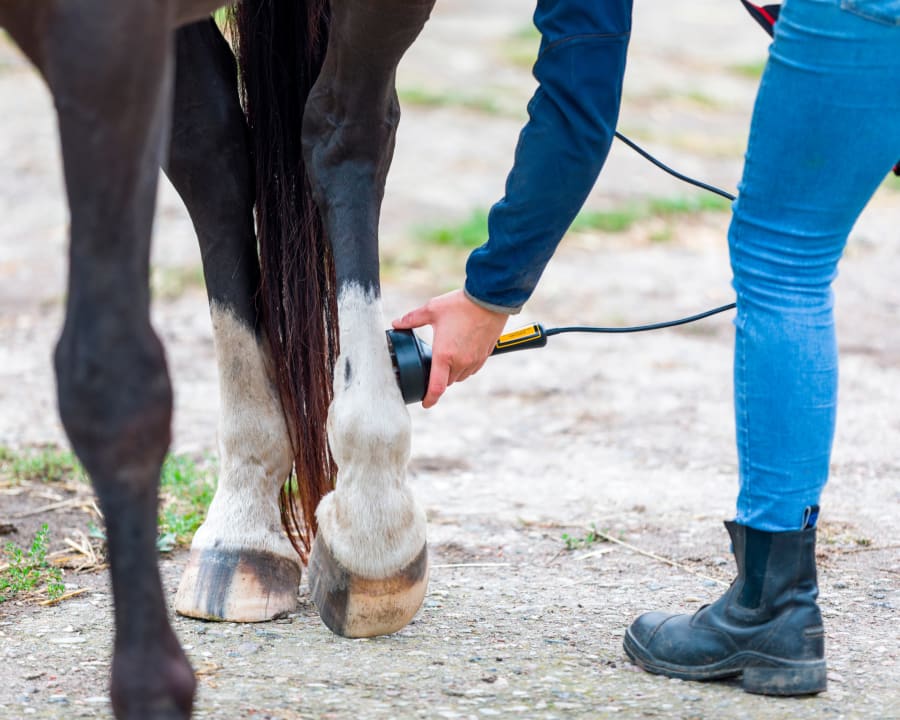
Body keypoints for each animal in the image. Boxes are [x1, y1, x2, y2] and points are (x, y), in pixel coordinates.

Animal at [0, 2, 436, 716]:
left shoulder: (102, 38)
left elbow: (110, 380)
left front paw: (150, 685)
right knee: (212, 150)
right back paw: (241, 530)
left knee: (345, 132)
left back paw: (372, 518)